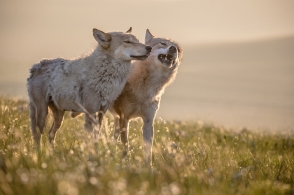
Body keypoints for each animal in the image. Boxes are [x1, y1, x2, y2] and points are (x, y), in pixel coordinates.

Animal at [109, 29, 183, 165]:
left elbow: (148, 151)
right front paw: (125, 164)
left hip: (116, 119)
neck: (146, 89)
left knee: (113, 138)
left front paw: (148, 168)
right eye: (163, 43)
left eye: (178, 50)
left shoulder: (148, 121)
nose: (173, 48)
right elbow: (126, 146)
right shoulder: (125, 118)